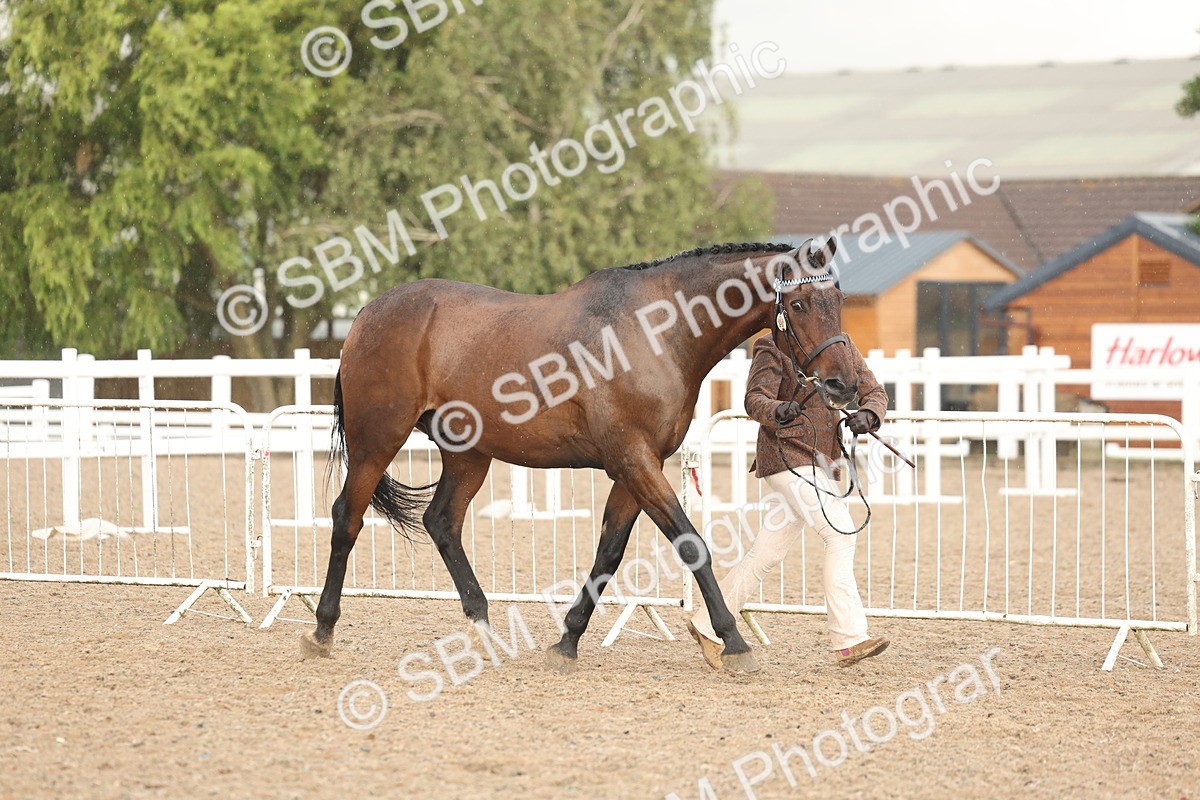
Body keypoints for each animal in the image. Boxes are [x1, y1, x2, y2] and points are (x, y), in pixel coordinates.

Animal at [302, 238, 856, 673]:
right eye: (799, 304)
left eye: (838, 297)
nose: (842, 385)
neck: (656, 332)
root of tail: (368, 313)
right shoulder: (634, 460)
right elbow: (692, 543)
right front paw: (734, 642)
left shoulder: (634, 469)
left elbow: (608, 552)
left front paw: (567, 639)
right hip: (378, 441)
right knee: (347, 518)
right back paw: (322, 630)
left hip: (469, 454)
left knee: (442, 522)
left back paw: (485, 631)